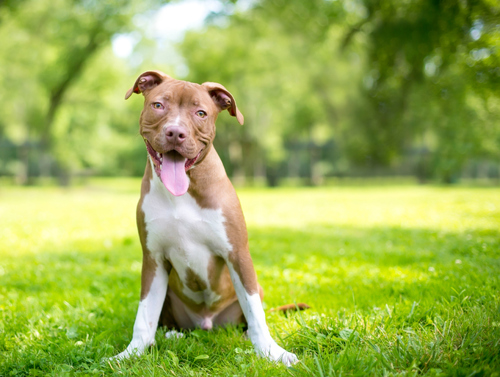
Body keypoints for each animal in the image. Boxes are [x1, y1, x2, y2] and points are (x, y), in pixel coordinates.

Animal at [112, 70, 296, 364]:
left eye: (201, 113)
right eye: (158, 105)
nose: (176, 132)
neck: (184, 190)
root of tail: (207, 324)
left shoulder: (237, 254)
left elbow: (256, 312)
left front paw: (272, 352)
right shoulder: (153, 259)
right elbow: (144, 316)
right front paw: (130, 354)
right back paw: (172, 335)